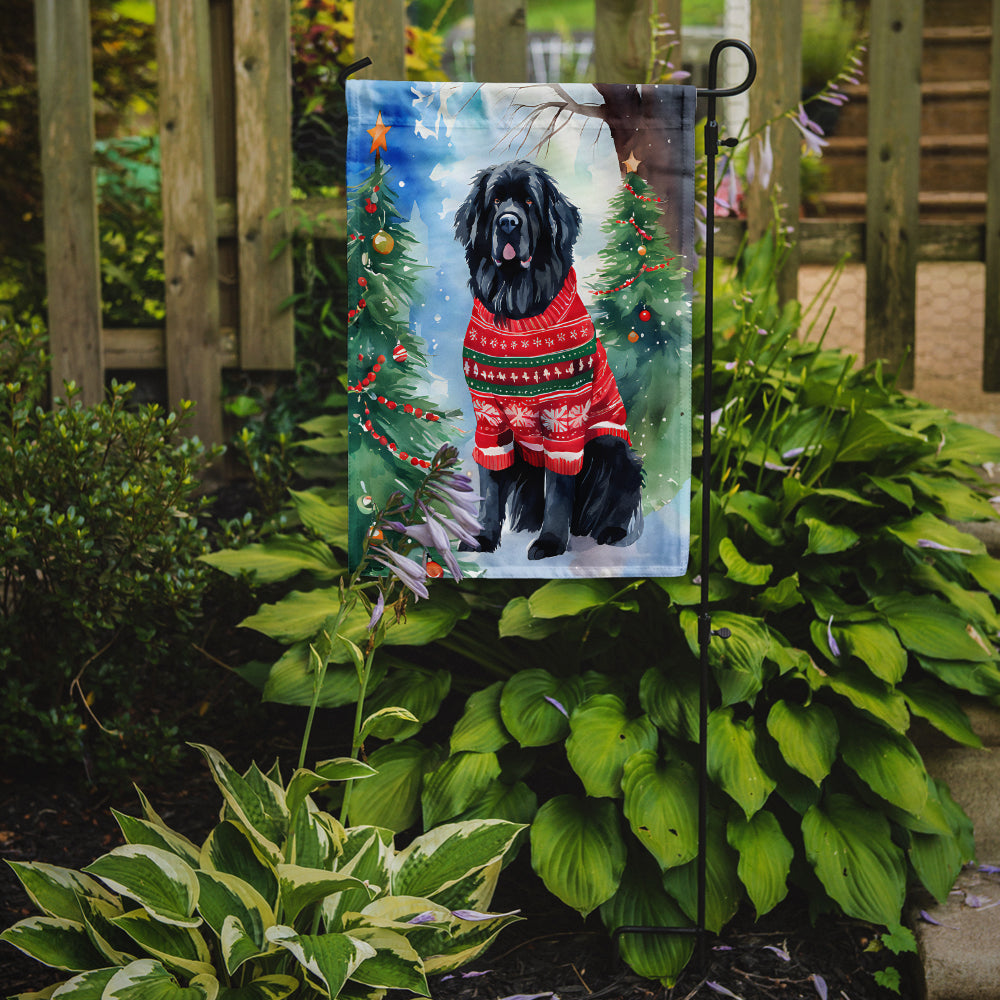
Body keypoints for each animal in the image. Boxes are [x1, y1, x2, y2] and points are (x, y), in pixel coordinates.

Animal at [454, 160, 640, 560]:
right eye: (495, 201)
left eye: (528, 201)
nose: (509, 223)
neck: (517, 309)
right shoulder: (490, 419)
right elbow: (490, 487)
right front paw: (483, 538)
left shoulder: (565, 419)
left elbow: (559, 489)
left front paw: (551, 542)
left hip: (610, 447)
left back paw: (608, 531)